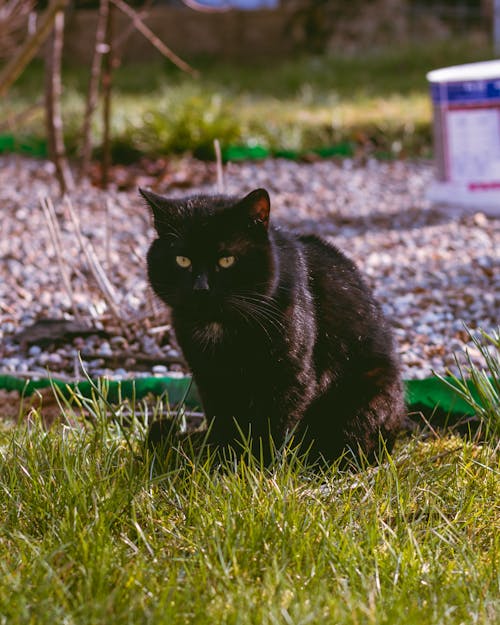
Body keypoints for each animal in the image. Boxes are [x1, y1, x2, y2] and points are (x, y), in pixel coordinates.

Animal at [140, 188, 402, 460]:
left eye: (226, 260)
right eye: (182, 260)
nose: (201, 288)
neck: (220, 325)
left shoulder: (290, 377)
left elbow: (274, 427)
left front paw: (259, 466)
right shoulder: (210, 378)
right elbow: (223, 422)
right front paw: (222, 460)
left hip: (368, 394)